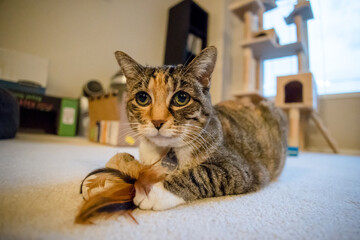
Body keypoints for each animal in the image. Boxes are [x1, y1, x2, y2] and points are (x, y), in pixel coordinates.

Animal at [112, 46, 286, 210]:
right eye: (142, 98)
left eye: (181, 98)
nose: (157, 121)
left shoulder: (241, 168)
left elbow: (202, 173)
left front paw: (152, 192)